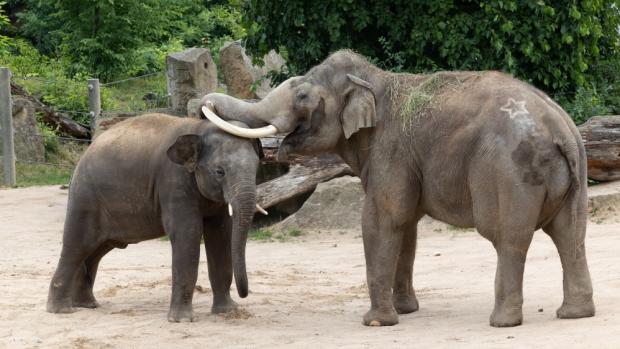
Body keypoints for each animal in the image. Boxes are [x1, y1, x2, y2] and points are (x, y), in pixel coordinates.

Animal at [46, 113, 264, 320]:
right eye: (220, 171)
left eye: (257, 167)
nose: (244, 294)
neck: (199, 127)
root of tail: (85, 153)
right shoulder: (173, 182)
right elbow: (188, 234)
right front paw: (181, 319)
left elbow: (221, 235)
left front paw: (228, 311)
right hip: (85, 198)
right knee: (77, 245)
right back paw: (61, 310)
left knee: (95, 250)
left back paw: (87, 304)